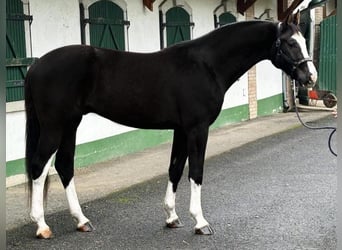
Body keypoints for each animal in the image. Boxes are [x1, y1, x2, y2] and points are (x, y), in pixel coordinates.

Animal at [25, 12, 316, 239]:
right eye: (291, 42)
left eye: (303, 41)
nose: (310, 77)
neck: (206, 65)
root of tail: (36, 65)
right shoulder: (197, 128)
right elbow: (196, 172)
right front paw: (200, 222)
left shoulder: (181, 129)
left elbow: (175, 169)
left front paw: (172, 217)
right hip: (54, 126)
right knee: (39, 166)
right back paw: (41, 226)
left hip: (71, 124)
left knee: (64, 166)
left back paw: (82, 221)